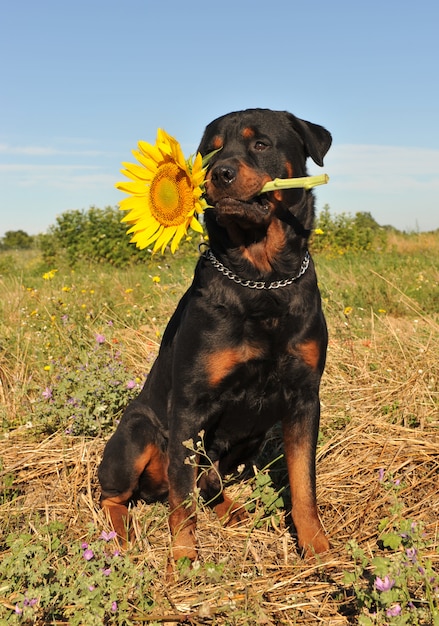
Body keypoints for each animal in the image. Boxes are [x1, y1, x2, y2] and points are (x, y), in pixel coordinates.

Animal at [99, 108, 334, 560]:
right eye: (210, 152)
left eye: (260, 144)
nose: (221, 173)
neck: (262, 279)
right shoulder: (190, 407)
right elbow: (182, 506)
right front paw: (183, 561)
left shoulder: (303, 400)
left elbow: (304, 485)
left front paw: (317, 547)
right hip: (136, 434)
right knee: (116, 496)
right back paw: (120, 537)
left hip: (249, 436)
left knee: (208, 482)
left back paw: (232, 512)